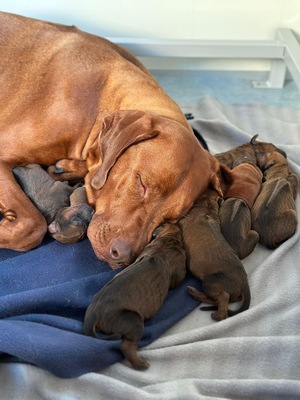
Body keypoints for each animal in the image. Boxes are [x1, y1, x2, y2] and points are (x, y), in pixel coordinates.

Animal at [0, 11, 220, 268]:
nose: (123, 256)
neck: (97, 100)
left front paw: (70, 168)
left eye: (171, 218)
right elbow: (32, 225)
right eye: (142, 183)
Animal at [178, 188, 251, 322]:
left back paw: (214, 313)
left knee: (223, 299)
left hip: (210, 282)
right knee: (219, 300)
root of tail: (245, 283)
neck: (206, 207)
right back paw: (195, 294)